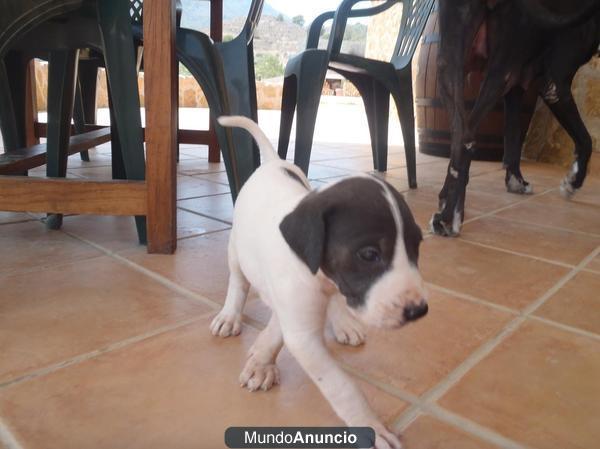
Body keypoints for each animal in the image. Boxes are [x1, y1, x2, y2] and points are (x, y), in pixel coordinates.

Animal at [211, 116, 426, 448]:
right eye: (369, 254)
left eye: (416, 246)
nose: (418, 311)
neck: (315, 275)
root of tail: (271, 161)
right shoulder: (301, 330)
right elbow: (342, 385)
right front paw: (371, 426)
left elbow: (280, 328)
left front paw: (261, 357)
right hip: (236, 250)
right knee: (238, 283)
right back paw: (230, 315)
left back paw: (342, 322)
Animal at [432, 0, 600, 236]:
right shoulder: (555, 86)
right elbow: (585, 139)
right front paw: (574, 181)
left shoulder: (517, 87)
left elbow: (512, 138)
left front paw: (515, 181)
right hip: (498, 71)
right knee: (466, 136)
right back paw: (449, 216)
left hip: (452, 62)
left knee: (461, 135)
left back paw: (447, 207)